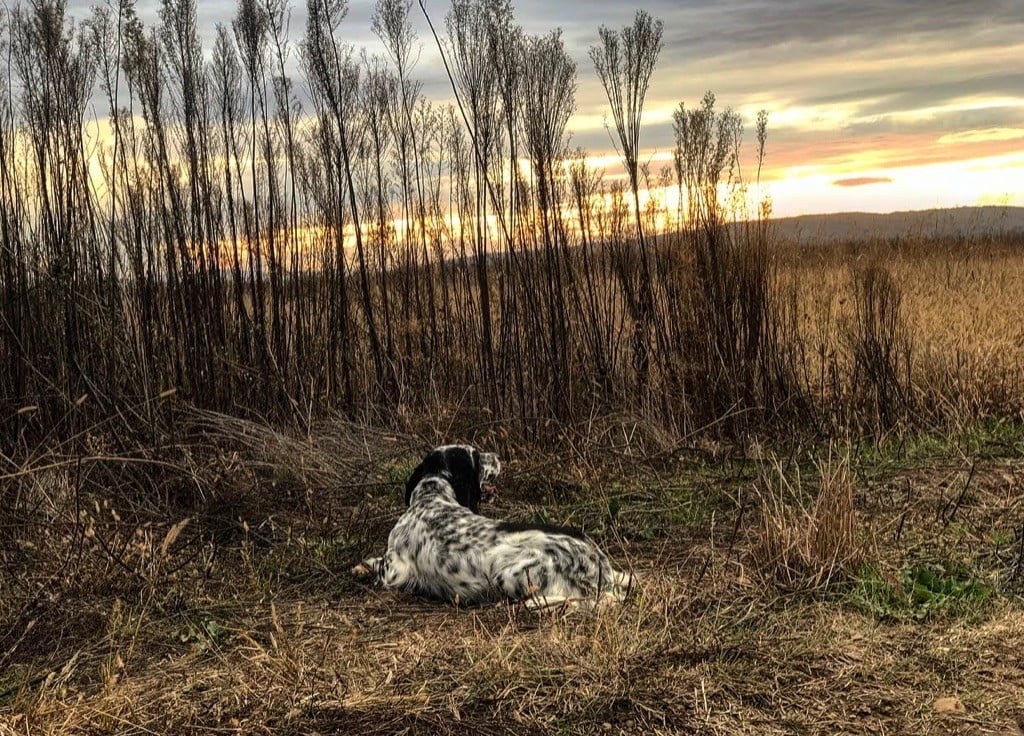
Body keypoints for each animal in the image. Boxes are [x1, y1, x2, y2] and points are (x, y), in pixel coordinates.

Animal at [358, 444, 630, 610]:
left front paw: (361, 566)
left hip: (509, 574)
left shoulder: (393, 571)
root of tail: (600, 564)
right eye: (477, 456)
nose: (498, 457)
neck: (432, 496)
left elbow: (374, 561)